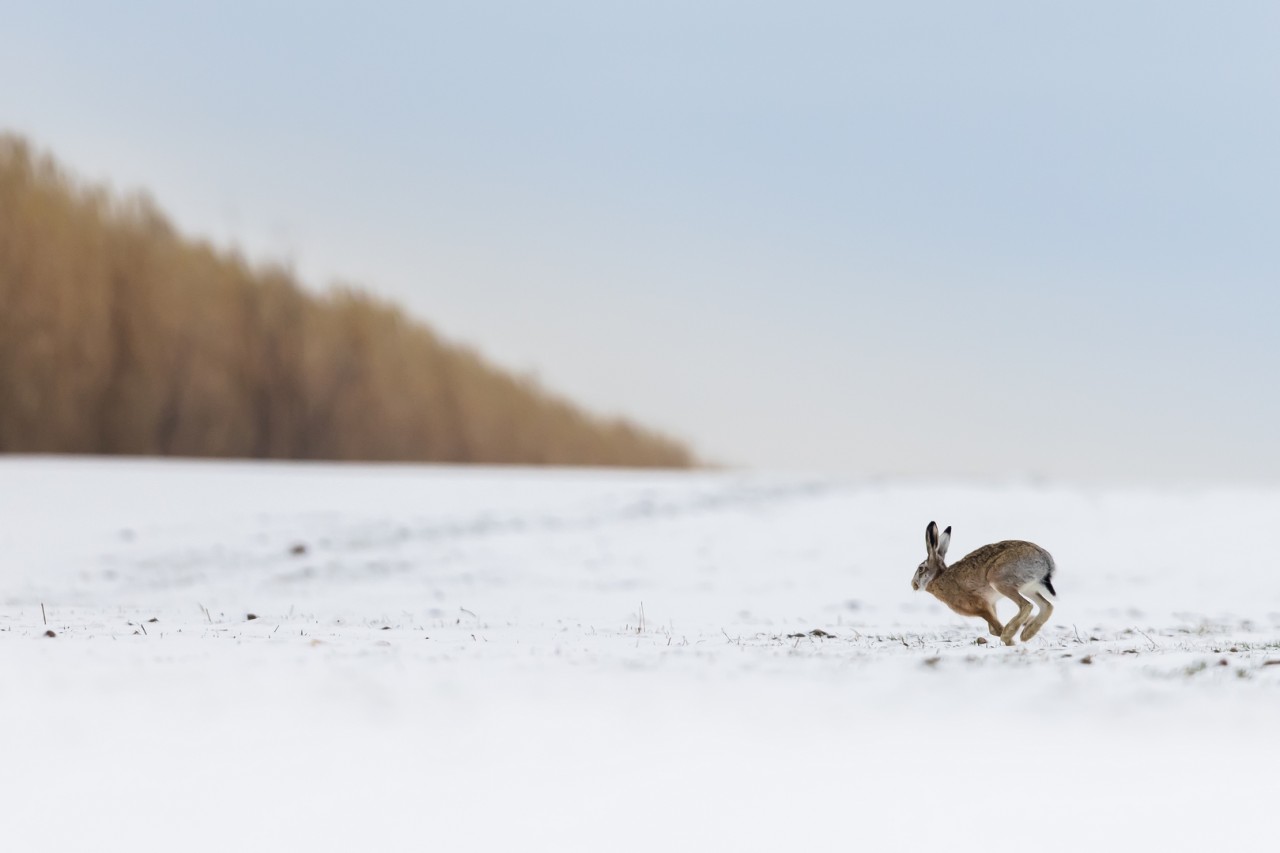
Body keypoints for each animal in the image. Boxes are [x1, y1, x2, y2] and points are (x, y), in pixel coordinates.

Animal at [911, 521, 1056, 645]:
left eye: (920, 569)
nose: (913, 584)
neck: (937, 578)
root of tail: (1046, 561)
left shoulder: (980, 605)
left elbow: (996, 628)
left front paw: (1010, 641)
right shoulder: (991, 604)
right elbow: (992, 630)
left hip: (999, 580)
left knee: (1026, 605)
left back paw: (1009, 634)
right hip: (1028, 588)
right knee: (1047, 606)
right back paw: (1026, 634)